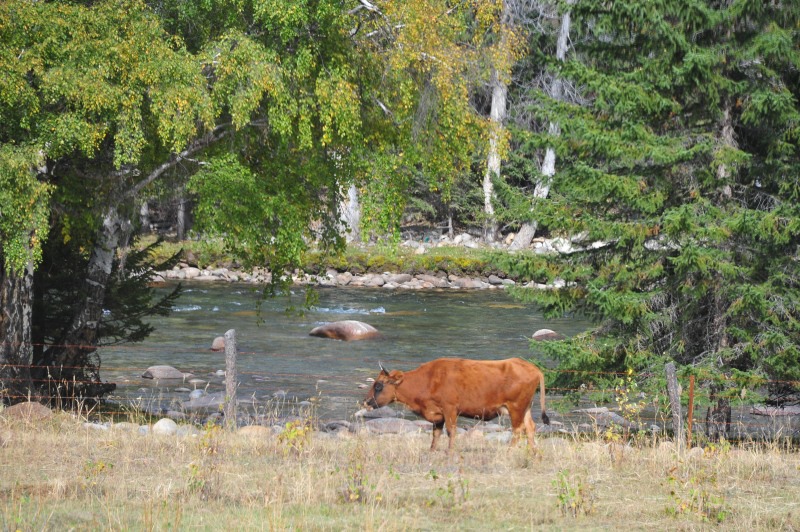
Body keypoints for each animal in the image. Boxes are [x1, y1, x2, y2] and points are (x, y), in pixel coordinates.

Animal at [364, 358, 548, 448]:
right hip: (525, 409)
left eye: (378, 385)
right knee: (530, 428)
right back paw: (535, 456)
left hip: (515, 408)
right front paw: (432, 453)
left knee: (518, 430)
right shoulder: (438, 416)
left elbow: (451, 432)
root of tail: (533, 368)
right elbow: (435, 435)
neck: (429, 379)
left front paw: (449, 454)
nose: (366, 402)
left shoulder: (450, 410)